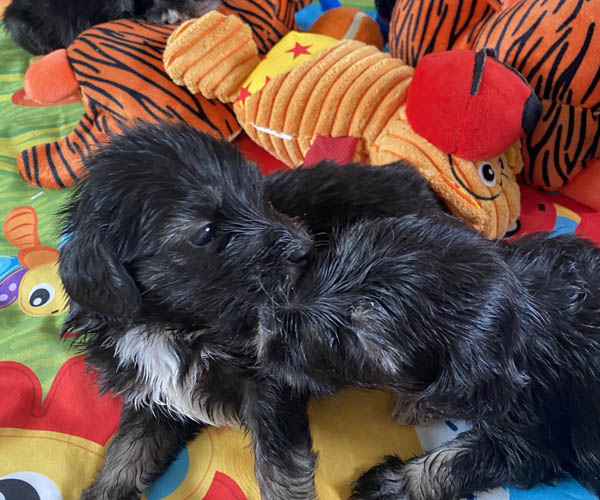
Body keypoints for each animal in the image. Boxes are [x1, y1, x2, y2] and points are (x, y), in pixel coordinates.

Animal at [58, 121, 441, 500]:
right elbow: (127, 451)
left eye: (262, 198)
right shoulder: (152, 392)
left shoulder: (270, 381)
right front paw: (104, 490)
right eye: (206, 232)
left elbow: (278, 464)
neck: (178, 328)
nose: (305, 249)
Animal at [256, 214, 600, 499]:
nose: (268, 319)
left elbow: (452, 461)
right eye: (334, 256)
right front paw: (416, 403)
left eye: (355, 339)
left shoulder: (533, 429)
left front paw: (386, 484)